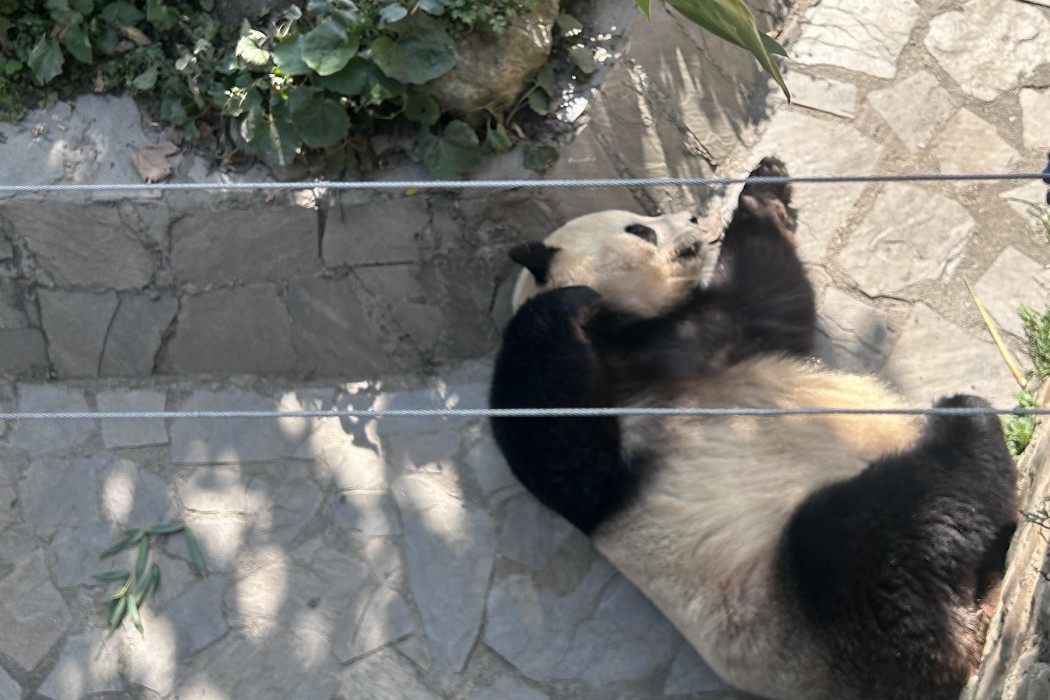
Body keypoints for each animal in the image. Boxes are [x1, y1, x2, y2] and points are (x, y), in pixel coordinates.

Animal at [487, 157, 1020, 700]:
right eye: (639, 229)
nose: (694, 218)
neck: (621, 322)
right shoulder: (641, 364)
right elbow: (554, 444)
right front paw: (568, 302)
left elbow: (775, 303)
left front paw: (765, 179)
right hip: (802, 606)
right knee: (875, 536)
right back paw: (967, 426)